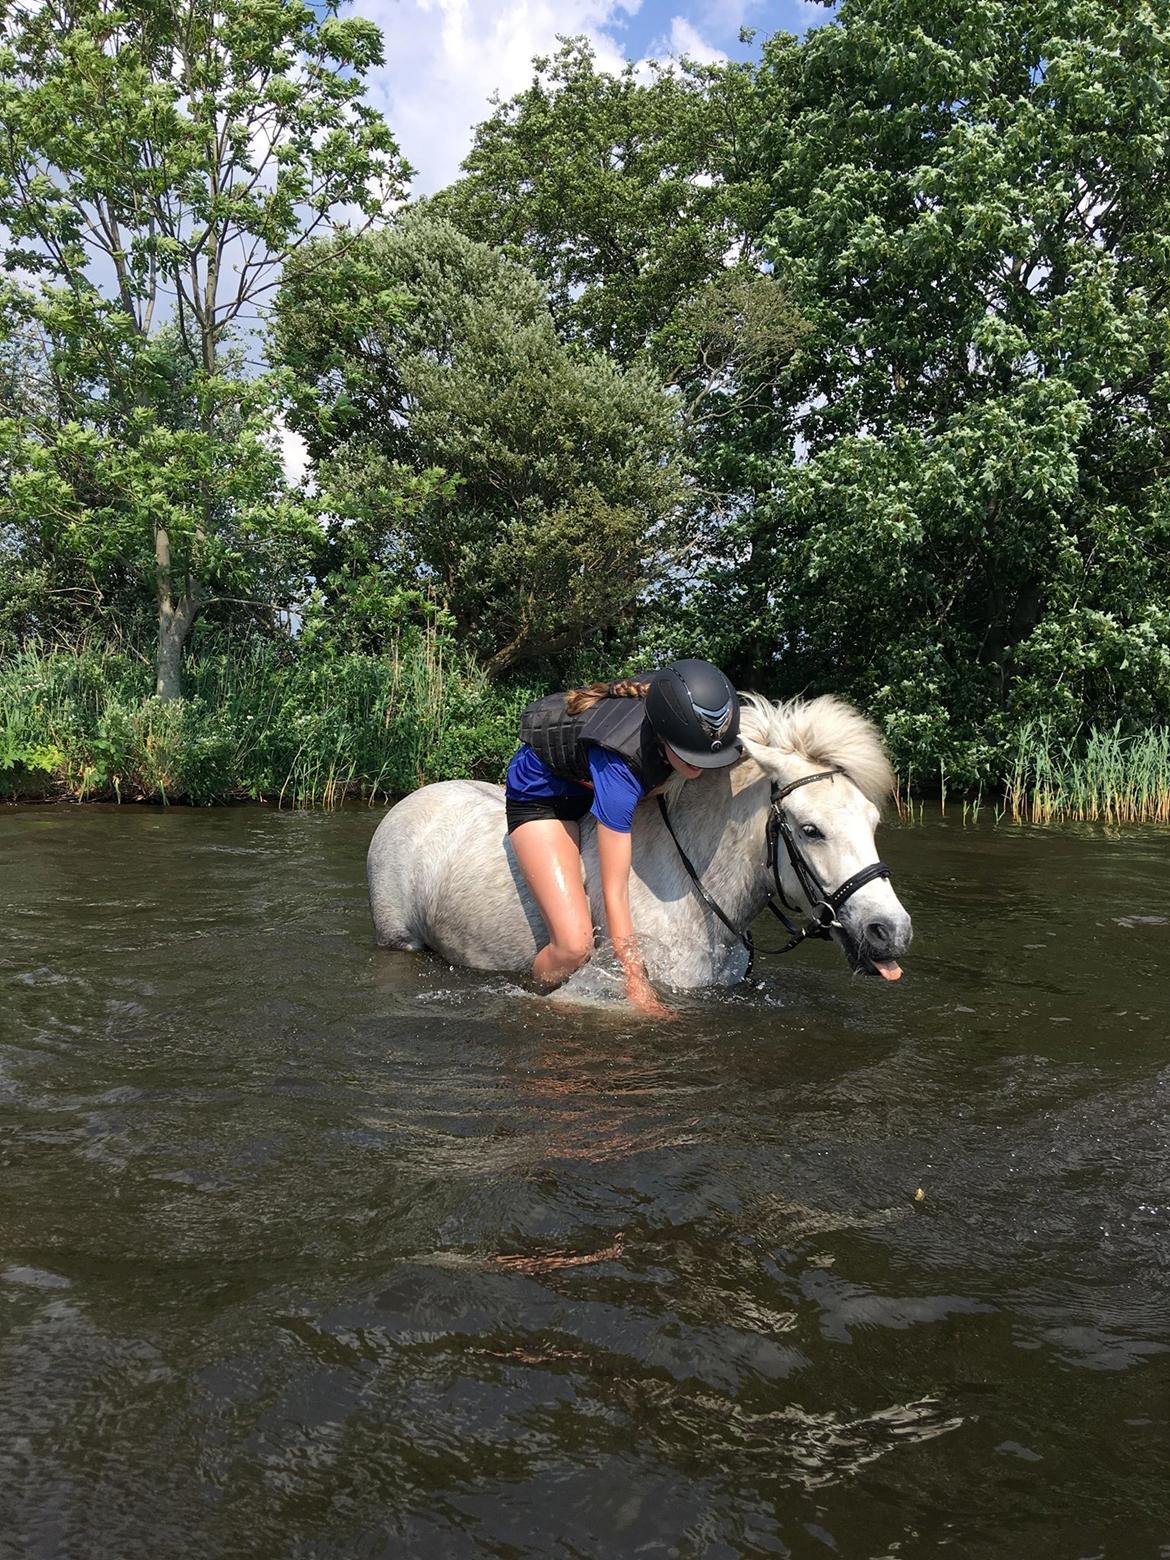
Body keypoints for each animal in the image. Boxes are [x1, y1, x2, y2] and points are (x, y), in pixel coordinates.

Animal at [368, 695, 917, 985]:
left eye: (872, 822)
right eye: (810, 829)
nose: (891, 931)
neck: (698, 895)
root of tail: (410, 801)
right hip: (398, 938)